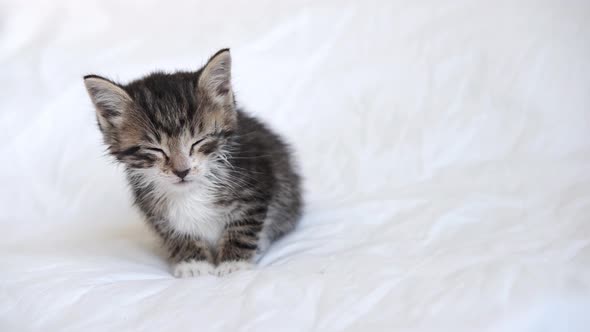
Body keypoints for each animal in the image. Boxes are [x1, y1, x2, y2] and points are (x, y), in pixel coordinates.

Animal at [82, 49, 302, 278]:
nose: (182, 171)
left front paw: (234, 263)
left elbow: (243, 226)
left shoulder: (255, 188)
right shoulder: (155, 210)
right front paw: (194, 263)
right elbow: (176, 234)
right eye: (155, 149)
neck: (192, 191)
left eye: (198, 141)